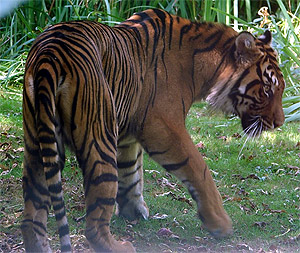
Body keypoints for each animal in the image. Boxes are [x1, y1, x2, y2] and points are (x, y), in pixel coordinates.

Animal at [21, 7, 286, 251]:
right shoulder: (163, 126)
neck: (204, 67)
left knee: (31, 218)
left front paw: (134, 211)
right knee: (94, 223)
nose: (279, 123)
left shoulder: (127, 133)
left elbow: (132, 171)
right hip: (98, 138)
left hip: (39, 143)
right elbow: (199, 169)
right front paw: (219, 223)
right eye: (266, 90)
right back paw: (121, 246)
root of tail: (49, 54)